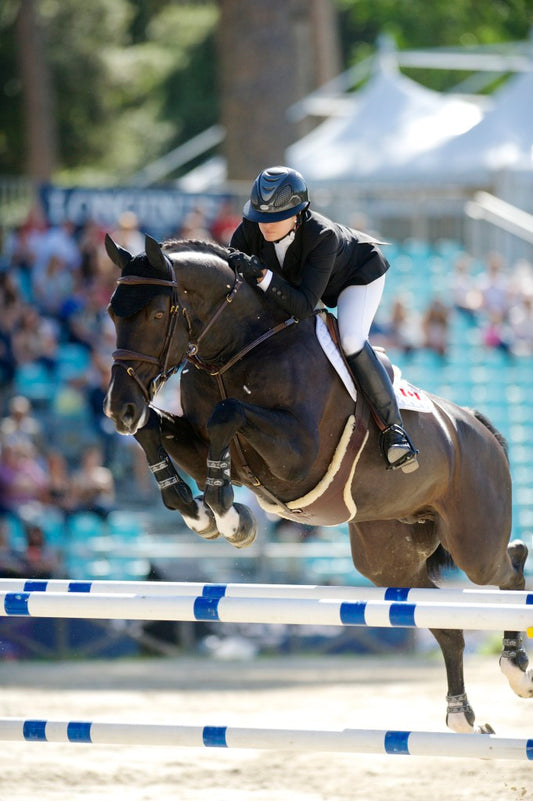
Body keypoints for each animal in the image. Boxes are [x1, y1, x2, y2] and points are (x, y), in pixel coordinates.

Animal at [102, 231, 528, 732]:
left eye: (155, 314)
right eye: (112, 313)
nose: (118, 409)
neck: (235, 352)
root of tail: (479, 427)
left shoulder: (299, 455)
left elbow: (230, 414)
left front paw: (229, 515)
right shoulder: (201, 439)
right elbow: (155, 429)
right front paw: (199, 512)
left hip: (472, 541)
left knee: (510, 564)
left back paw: (517, 670)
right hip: (389, 558)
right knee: (443, 620)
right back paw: (462, 716)